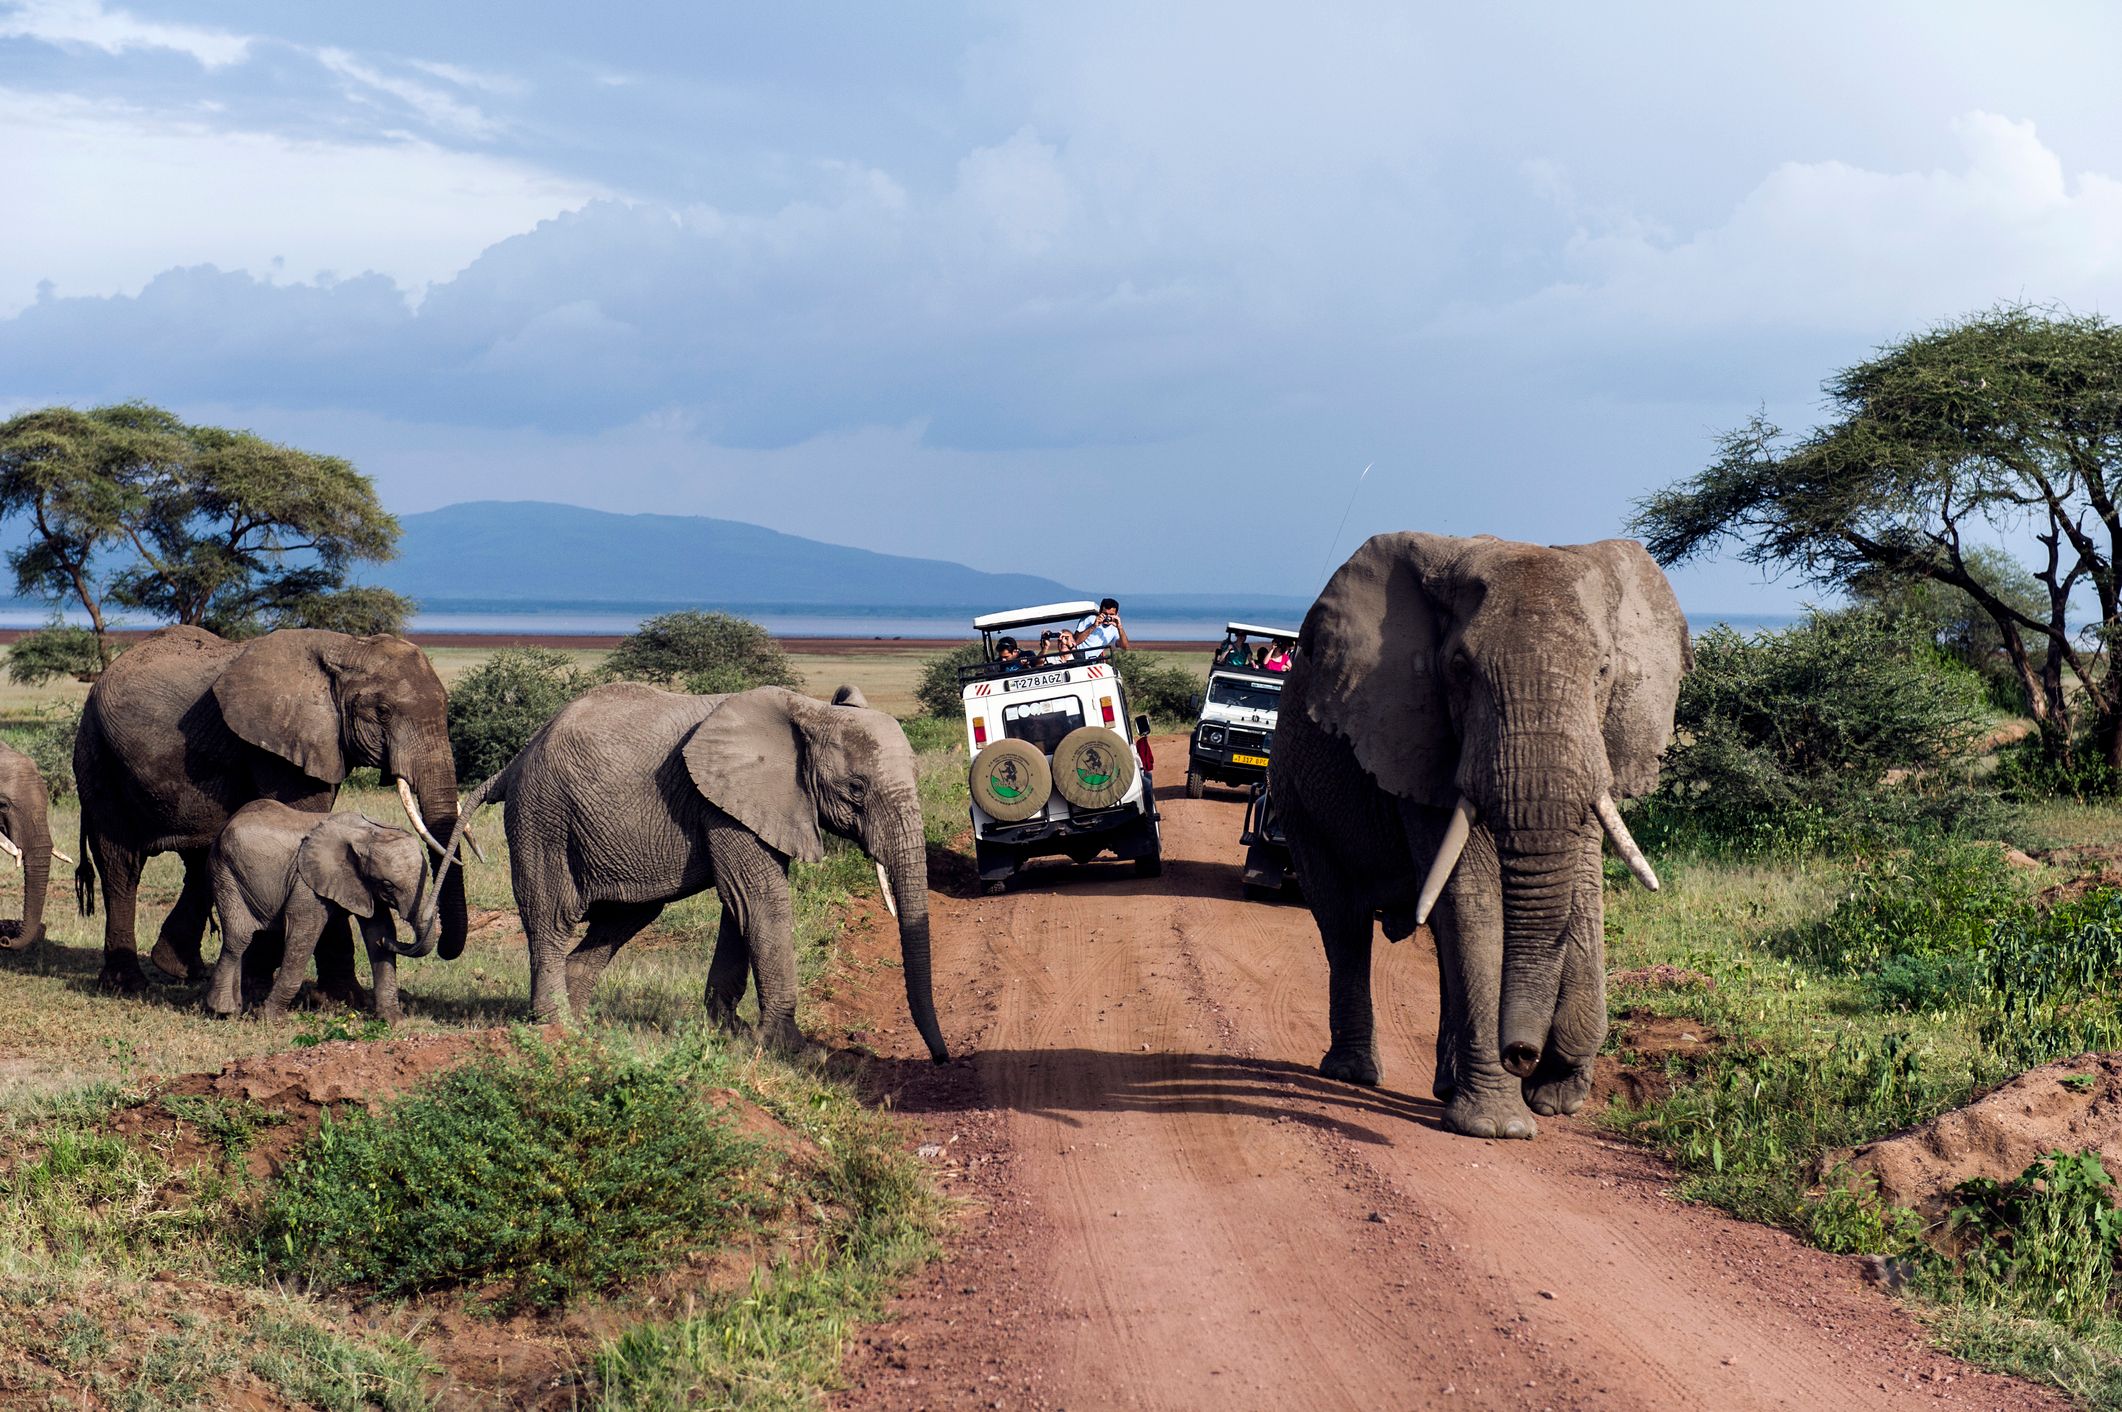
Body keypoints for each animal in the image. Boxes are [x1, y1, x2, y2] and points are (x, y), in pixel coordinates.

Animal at [207, 798, 439, 1019]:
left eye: (426, 875)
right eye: (389, 886)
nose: (390, 942)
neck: (367, 834)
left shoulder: (364, 885)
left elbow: (378, 930)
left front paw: (394, 1021)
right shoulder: (306, 883)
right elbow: (303, 934)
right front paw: (270, 1018)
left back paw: (235, 1010)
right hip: (226, 873)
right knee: (239, 937)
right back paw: (223, 1009)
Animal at [430, 679, 946, 1061]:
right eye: (856, 789)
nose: (940, 1059)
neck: (810, 712)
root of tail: (515, 761)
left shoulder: (757, 804)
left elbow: (740, 906)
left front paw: (729, 1033)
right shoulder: (721, 802)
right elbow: (760, 899)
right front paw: (790, 1051)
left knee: (624, 919)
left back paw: (581, 1024)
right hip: (543, 817)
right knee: (551, 918)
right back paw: (557, 1030)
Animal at [1256, 535, 1689, 1138]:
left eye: (1604, 670)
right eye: (1459, 669)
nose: (1523, 1055)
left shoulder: (1595, 743)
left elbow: (1582, 885)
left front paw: (1556, 1095)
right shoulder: (1419, 739)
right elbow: (1475, 897)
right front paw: (1499, 1127)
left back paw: (1443, 1085)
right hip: (1295, 793)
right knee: (1343, 921)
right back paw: (1352, 1073)